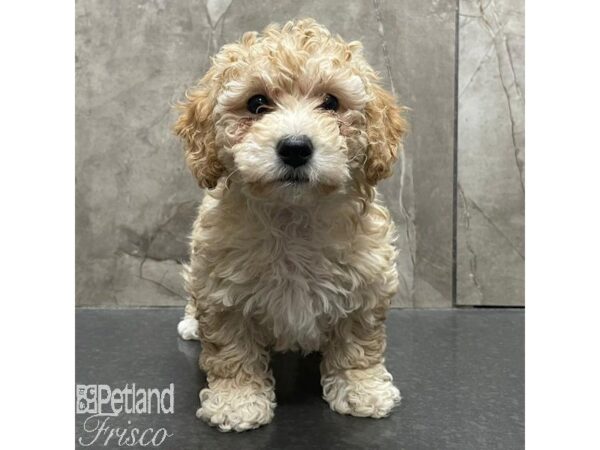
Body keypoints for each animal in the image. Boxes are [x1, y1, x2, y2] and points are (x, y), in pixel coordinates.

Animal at [175, 18, 408, 432]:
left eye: (331, 103)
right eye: (257, 104)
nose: (296, 147)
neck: (294, 216)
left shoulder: (367, 287)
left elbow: (359, 346)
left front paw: (362, 391)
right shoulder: (221, 294)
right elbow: (232, 352)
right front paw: (236, 402)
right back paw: (190, 323)